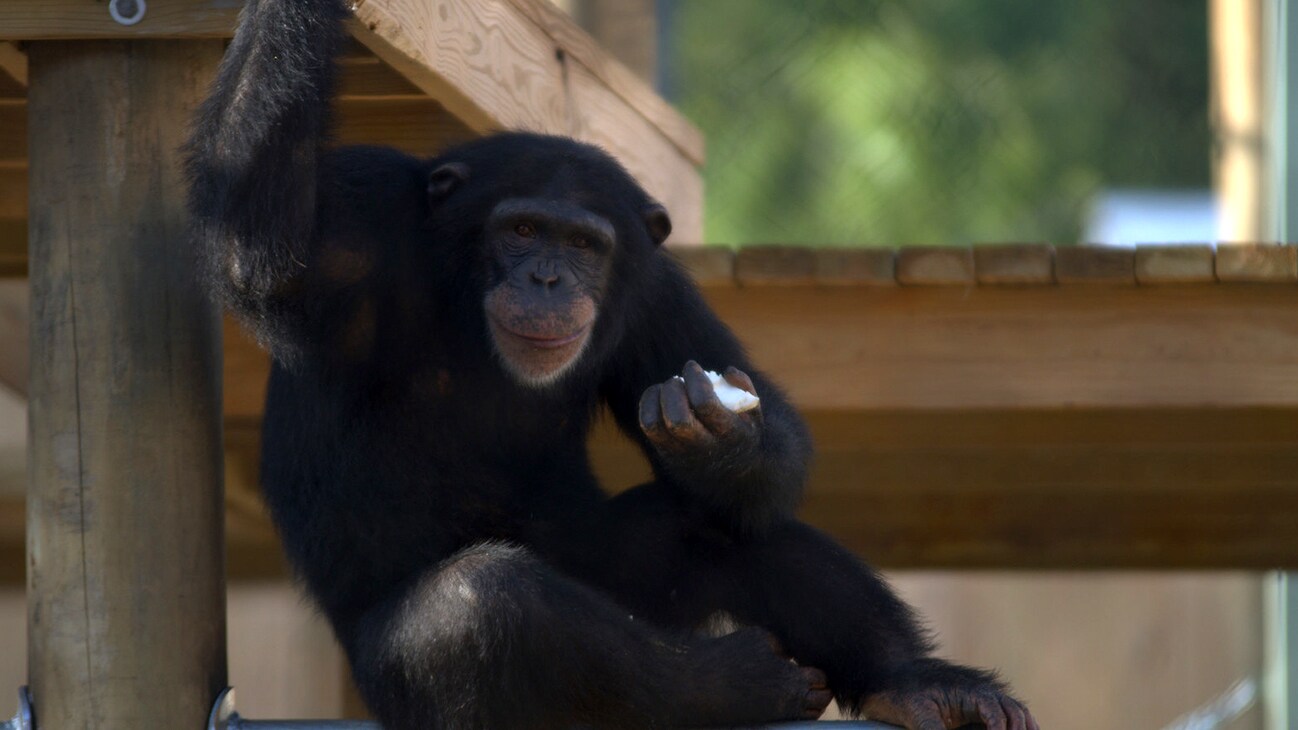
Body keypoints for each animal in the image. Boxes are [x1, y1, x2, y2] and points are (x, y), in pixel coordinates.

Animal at [185, 1, 1033, 727]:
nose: (548, 278)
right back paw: (737, 684)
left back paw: (918, 685)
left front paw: (720, 433)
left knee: (730, 530)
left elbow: (765, 432)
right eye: (523, 230)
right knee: (482, 607)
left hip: (628, 579)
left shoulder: (654, 292)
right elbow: (254, 246)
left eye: (585, 244)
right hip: (396, 686)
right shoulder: (364, 216)